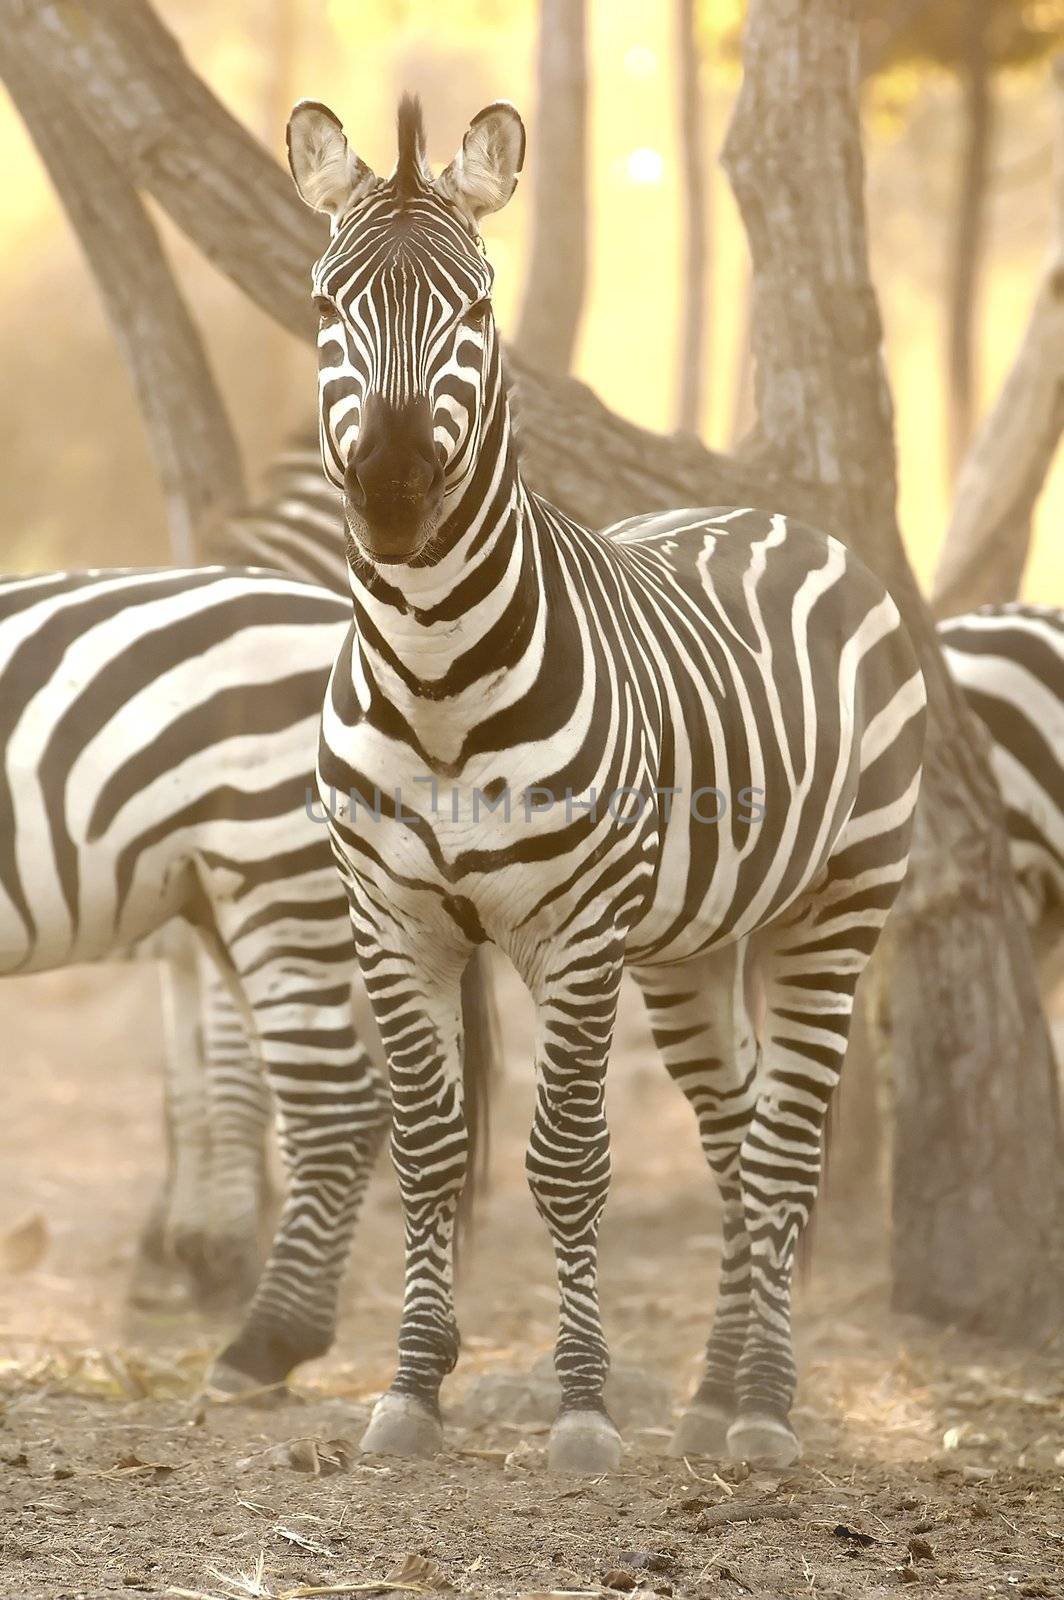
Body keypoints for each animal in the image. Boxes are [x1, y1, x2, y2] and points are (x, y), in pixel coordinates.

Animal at [286, 96, 928, 1472]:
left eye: (476, 308)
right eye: (323, 305)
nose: (395, 495)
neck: (432, 668)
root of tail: (776, 516)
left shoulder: (575, 929)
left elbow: (567, 1160)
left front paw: (581, 1405)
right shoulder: (390, 918)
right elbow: (429, 1151)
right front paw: (409, 1391)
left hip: (836, 902)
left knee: (784, 1147)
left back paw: (764, 1407)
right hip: (690, 942)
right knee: (735, 1136)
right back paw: (711, 1390)